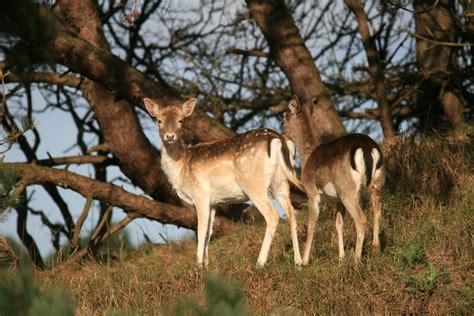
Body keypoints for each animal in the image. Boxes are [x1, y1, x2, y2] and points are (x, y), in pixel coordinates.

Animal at [143, 97, 304, 268]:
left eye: (181, 120)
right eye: (159, 120)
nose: (170, 136)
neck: (181, 168)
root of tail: (279, 140)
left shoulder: (200, 195)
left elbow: (201, 231)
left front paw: (198, 265)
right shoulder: (214, 202)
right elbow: (209, 232)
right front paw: (206, 265)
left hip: (253, 183)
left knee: (273, 215)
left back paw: (259, 263)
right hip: (280, 182)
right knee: (291, 212)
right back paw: (298, 262)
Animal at [282, 95, 386, 264]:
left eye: (282, 121)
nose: (281, 135)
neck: (307, 158)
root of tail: (367, 149)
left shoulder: (312, 192)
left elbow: (312, 225)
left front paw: (304, 262)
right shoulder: (337, 200)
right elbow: (338, 224)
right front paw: (341, 259)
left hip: (347, 190)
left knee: (361, 220)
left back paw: (356, 261)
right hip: (377, 183)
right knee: (377, 212)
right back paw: (375, 250)